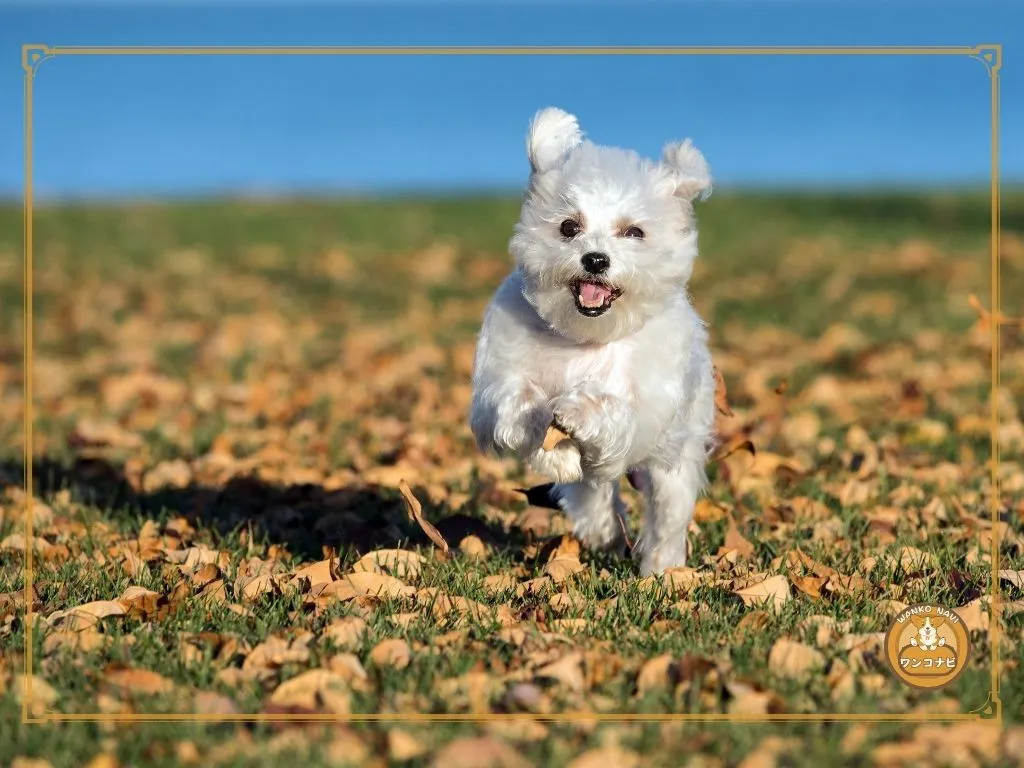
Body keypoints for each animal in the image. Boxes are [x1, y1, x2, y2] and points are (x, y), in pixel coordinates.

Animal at [468, 108, 716, 577]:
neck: (589, 339)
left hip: (676, 455)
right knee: (593, 492)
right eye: (569, 227)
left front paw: (579, 409)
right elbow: (514, 406)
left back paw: (661, 569)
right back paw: (601, 530)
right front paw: (546, 436)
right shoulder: (500, 379)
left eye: (634, 232)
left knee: (666, 515)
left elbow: (613, 409)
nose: (596, 259)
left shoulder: (644, 409)